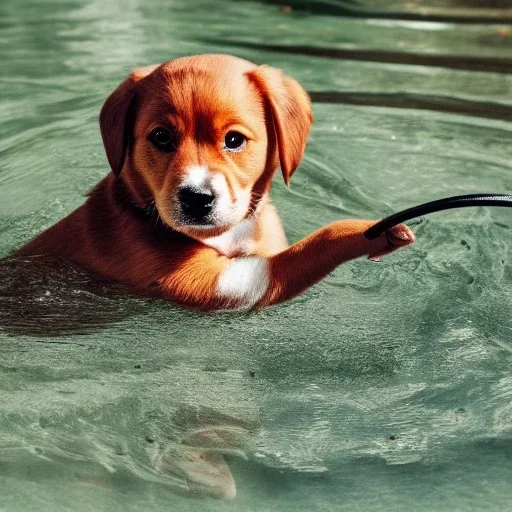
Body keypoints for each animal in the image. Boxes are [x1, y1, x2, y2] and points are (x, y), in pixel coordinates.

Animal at [17, 53, 416, 308]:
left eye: (234, 140)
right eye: (161, 137)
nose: (197, 197)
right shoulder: (223, 283)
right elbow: (310, 249)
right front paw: (362, 230)